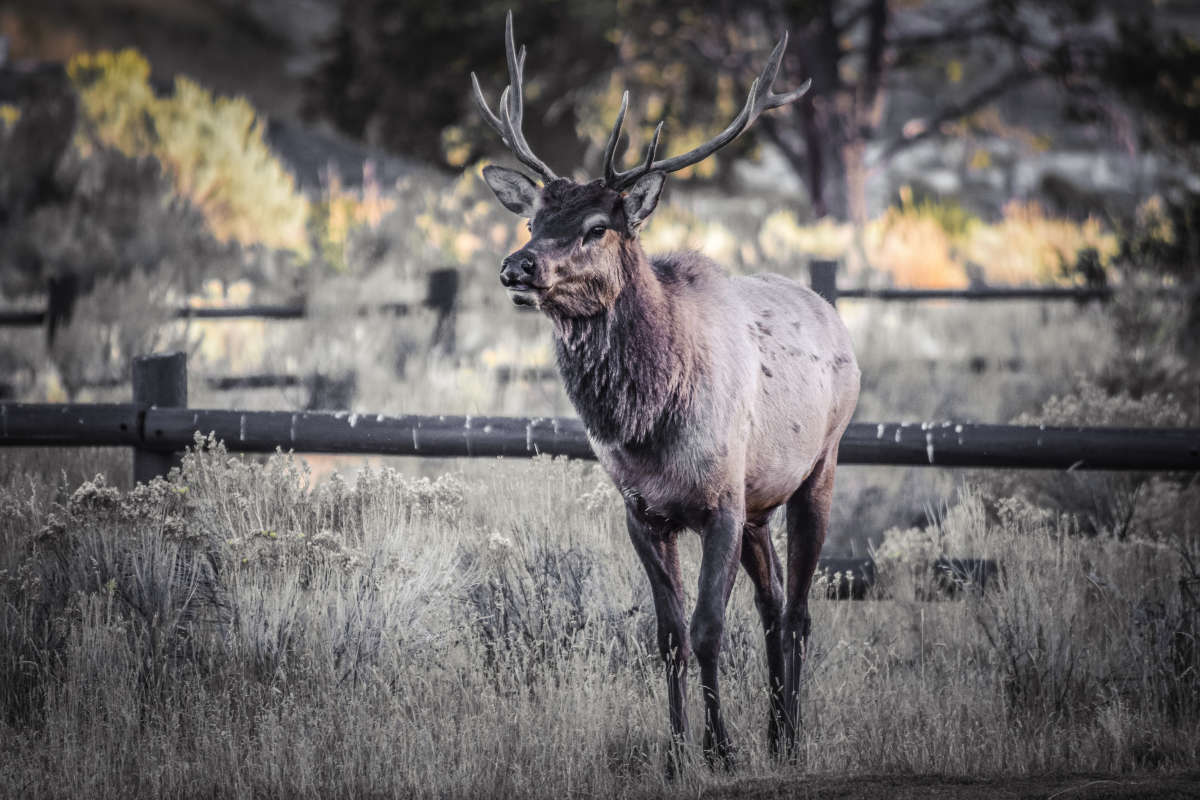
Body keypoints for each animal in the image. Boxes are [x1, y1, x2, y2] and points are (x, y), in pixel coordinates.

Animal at [472, 10, 859, 762]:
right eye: (532, 220)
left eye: (597, 227)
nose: (516, 266)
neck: (648, 426)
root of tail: (831, 313)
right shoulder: (643, 511)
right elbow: (670, 636)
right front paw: (679, 753)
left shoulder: (721, 501)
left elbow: (709, 628)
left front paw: (720, 749)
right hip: (760, 500)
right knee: (773, 605)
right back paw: (775, 730)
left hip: (819, 464)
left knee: (798, 611)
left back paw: (789, 737)